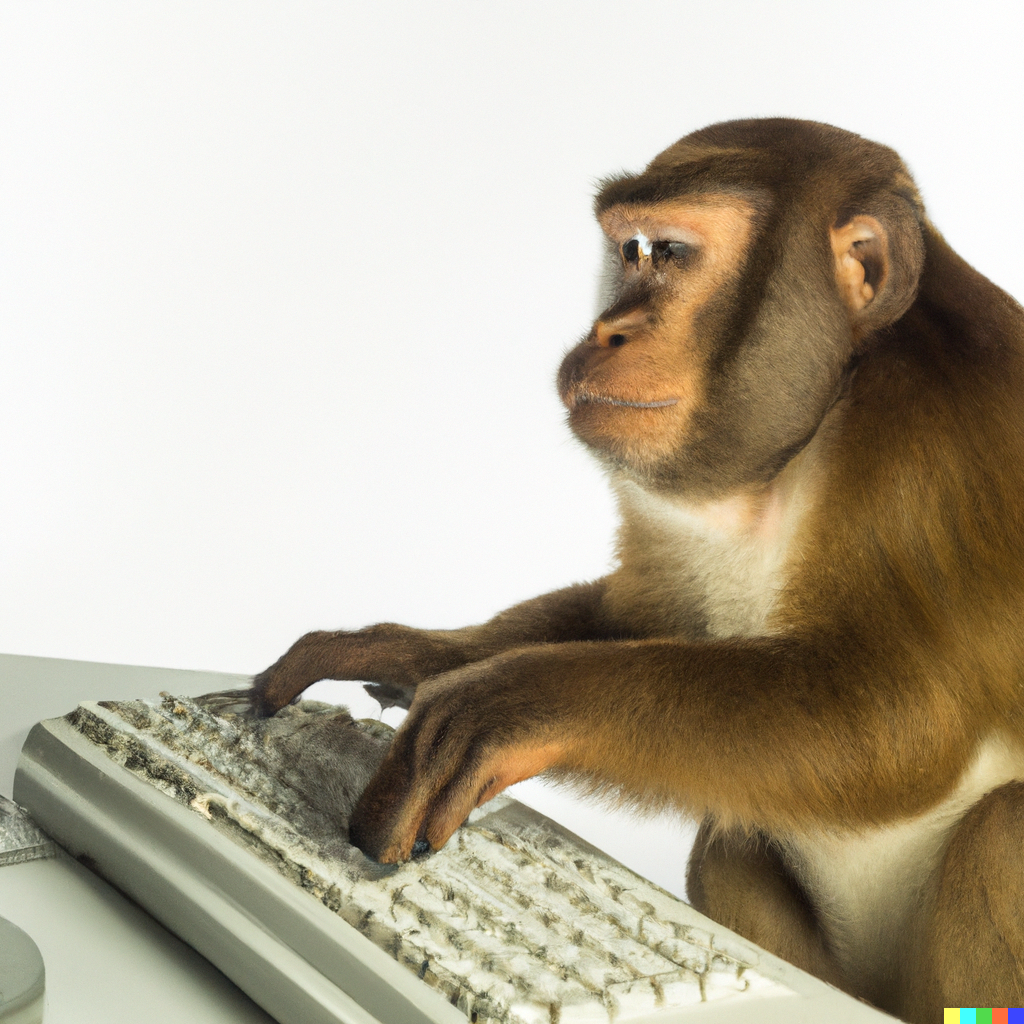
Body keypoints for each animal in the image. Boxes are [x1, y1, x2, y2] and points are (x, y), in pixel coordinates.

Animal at [220, 119, 1024, 1021]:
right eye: (630, 252)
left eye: (669, 252)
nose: (607, 330)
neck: (821, 421)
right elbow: (645, 618)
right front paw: (413, 652)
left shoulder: (923, 456)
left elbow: (900, 724)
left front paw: (511, 702)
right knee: (732, 843)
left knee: (1000, 834)